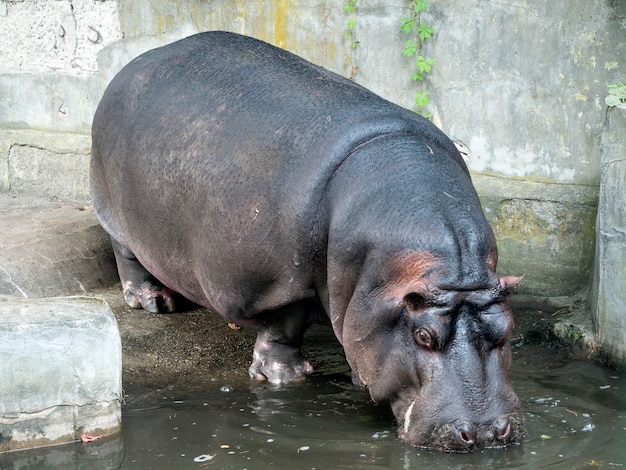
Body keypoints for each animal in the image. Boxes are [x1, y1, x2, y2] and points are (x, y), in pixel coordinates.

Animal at [90, 30, 524, 452]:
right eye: (423, 336)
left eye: (507, 328)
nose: (484, 432)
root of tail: (138, 60)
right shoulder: (282, 282)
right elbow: (284, 325)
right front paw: (285, 377)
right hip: (117, 215)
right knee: (127, 256)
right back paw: (154, 302)